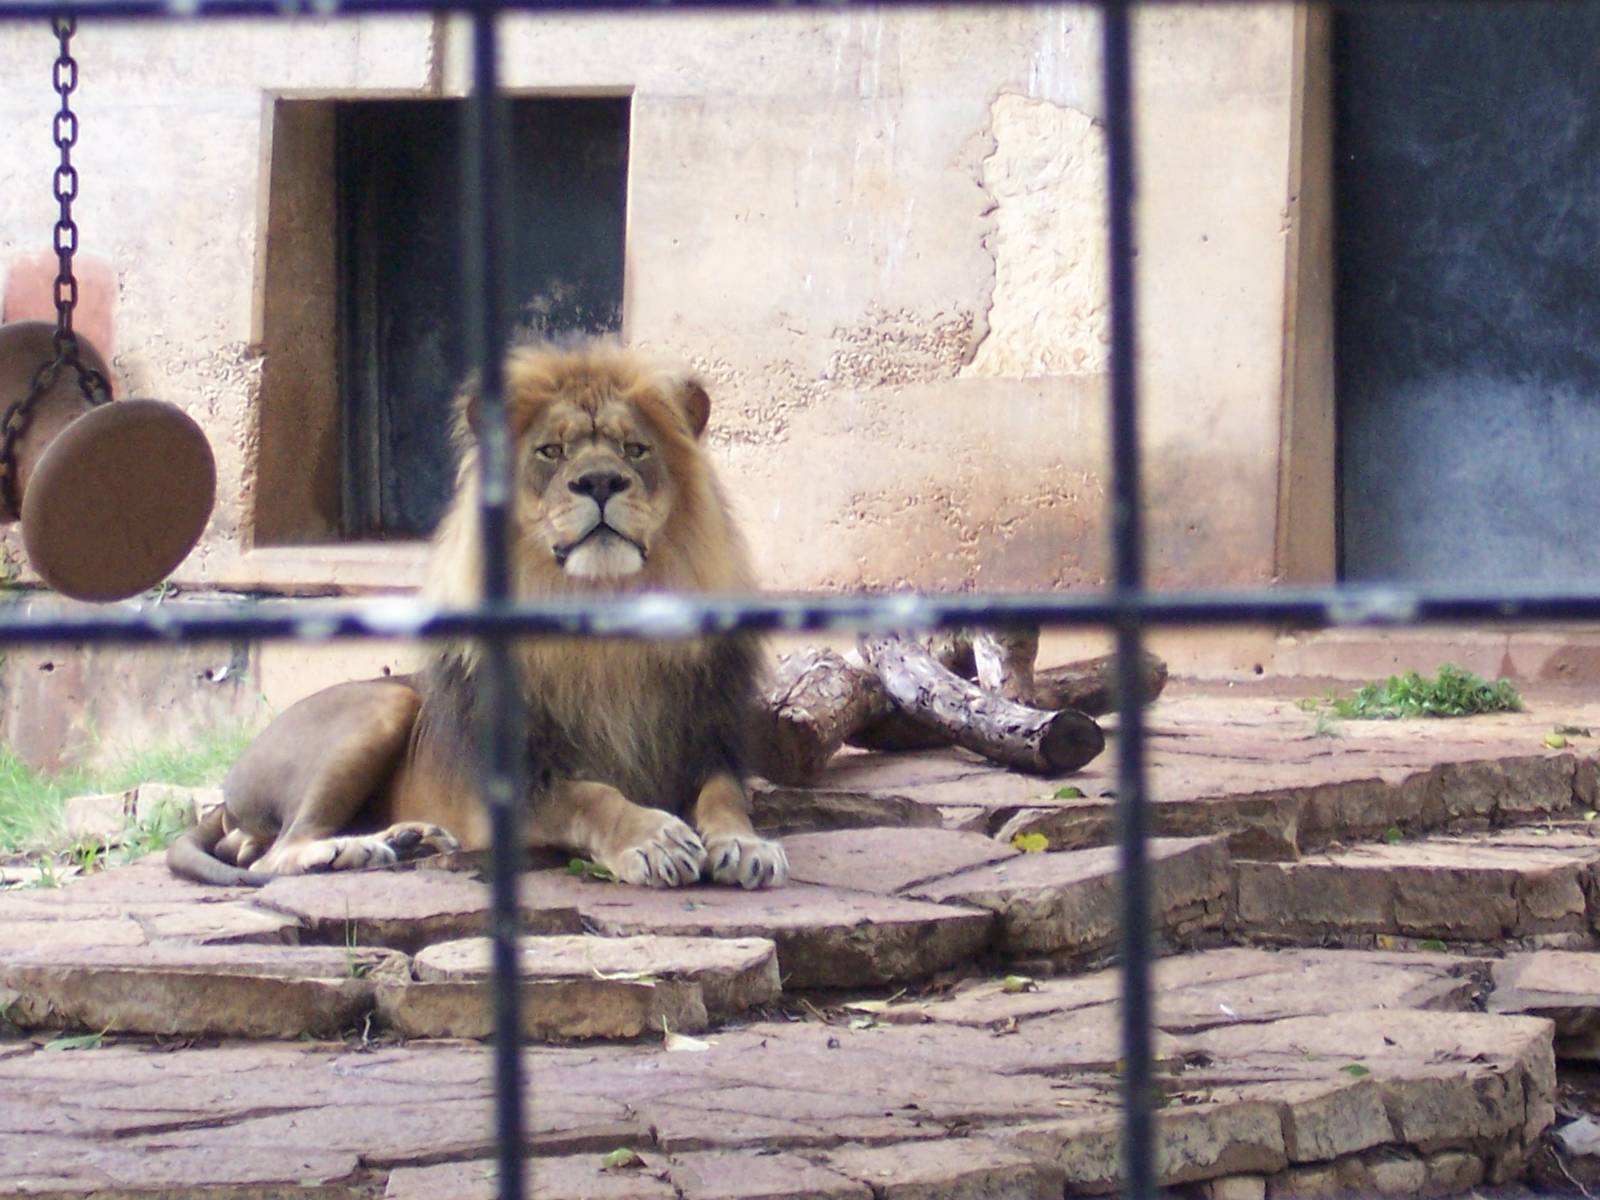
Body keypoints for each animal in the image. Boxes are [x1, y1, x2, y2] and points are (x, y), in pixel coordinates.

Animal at [167, 340, 788, 890]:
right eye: (552, 452)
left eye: (634, 449)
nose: (600, 481)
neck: (602, 617)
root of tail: (226, 793)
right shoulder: (520, 781)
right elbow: (590, 797)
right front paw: (653, 839)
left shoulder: (707, 742)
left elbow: (724, 796)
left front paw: (744, 845)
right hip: (382, 705)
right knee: (271, 855)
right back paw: (355, 849)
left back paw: (408, 839)